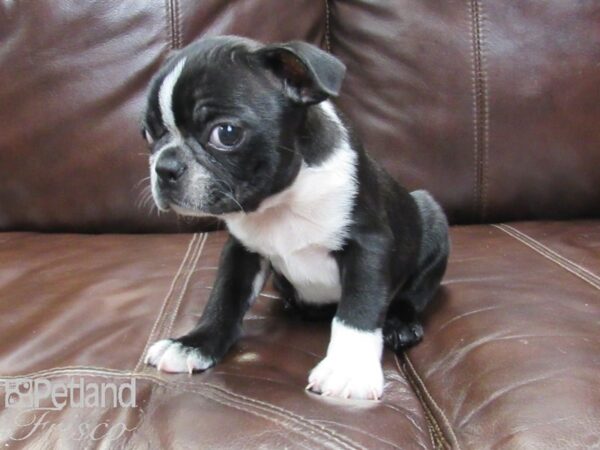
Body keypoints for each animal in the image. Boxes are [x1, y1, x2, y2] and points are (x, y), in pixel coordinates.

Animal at [142, 36, 450, 400]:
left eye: (226, 133)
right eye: (148, 134)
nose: (164, 167)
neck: (282, 201)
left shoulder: (368, 244)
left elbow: (359, 308)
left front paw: (348, 369)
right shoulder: (242, 251)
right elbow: (225, 298)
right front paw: (193, 344)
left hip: (432, 220)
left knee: (412, 294)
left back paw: (400, 324)